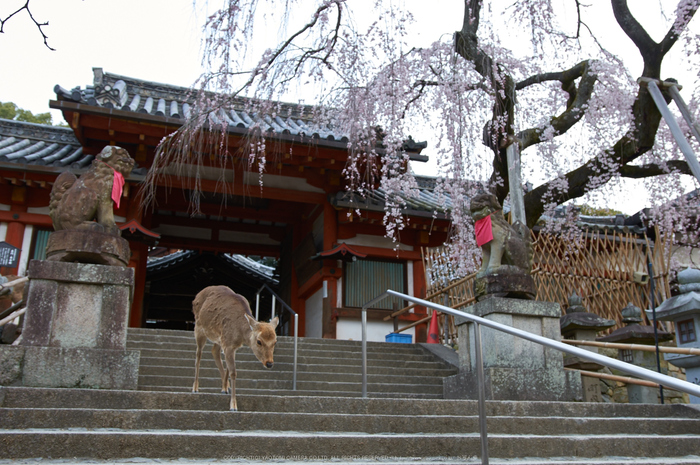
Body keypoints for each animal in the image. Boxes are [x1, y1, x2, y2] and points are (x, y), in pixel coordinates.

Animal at [193, 282, 280, 410]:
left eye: (275, 341)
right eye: (259, 341)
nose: (269, 363)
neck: (240, 334)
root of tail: (196, 297)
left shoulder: (229, 344)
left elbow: (229, 368)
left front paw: (225, 388)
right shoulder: (228, 344)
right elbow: (233, 372)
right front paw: (233, 405)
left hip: (218, 338)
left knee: (214, 351)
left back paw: (225, 387)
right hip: (199, 328)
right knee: (198, 355)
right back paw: (195, 387)